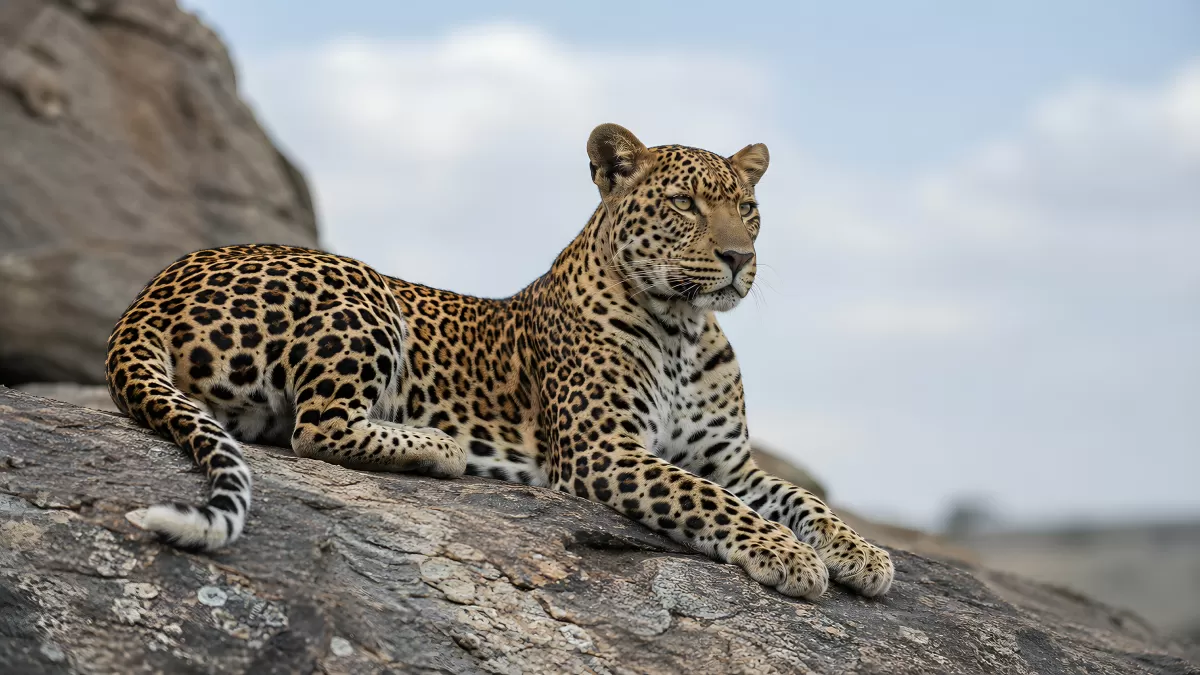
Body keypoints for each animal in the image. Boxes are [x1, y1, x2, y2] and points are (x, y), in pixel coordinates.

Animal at [105, 123, 894, 600]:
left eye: (748, 209)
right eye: (684, 203)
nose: (739, 257)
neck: (685, 327)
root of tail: (150, 291)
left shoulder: (727, 460)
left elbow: (802, 499)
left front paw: (862, 553)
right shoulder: (605, 448)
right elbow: (708, 500)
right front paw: (789, 557)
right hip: (360, 291)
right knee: (316, 427)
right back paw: (439, 446)